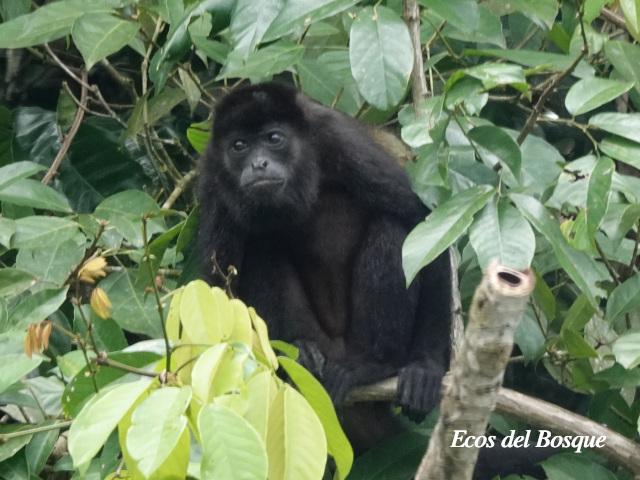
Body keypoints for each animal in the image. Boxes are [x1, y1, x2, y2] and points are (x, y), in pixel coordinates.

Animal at [198, 80, 452, 414]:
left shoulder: (340, 141)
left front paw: (427, 367)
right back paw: (301, 352)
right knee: (261, 245)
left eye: (274, 138)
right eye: (239, 146)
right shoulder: (213, 178)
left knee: (393, 227)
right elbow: (213, 283)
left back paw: (375, 362)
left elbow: (422, 227)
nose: (258, 163)